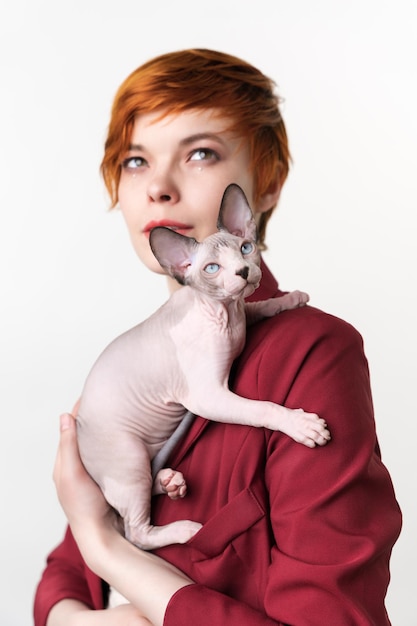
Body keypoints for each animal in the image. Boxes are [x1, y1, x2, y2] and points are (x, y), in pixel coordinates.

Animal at [75, 182, 328, 552]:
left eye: (246, 248)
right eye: (212, 268)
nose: (243, 272)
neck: (224, 315)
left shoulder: (241, 313)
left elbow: (258, 306)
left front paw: (289, 299)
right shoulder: (209, 396)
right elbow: (262, 409)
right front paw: (301, 425)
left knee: (146, 484)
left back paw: (170, 482)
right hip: (127, 456)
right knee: (135, 533)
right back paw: (186, 531)